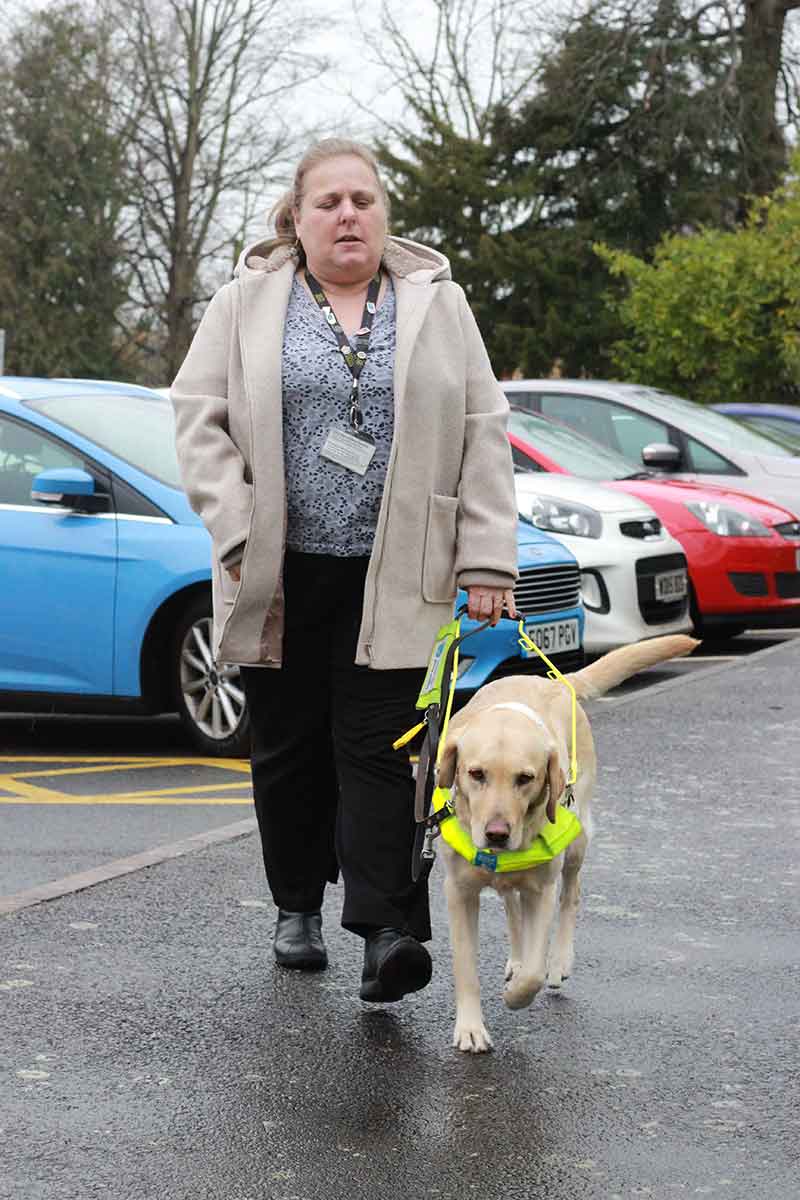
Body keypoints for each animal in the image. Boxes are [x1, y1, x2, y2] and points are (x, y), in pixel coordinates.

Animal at [434, 638, 695, 1051]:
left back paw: (557, 962)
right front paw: (471, 1028)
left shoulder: (542, 888)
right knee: (511, 906)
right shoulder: (459, 892)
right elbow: (466, 968)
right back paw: (516, 956)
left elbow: (533, 972)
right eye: (475, 774)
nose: (496, 834)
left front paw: (519, 993)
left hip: (578, 840)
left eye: (526, 778)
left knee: (570, 895)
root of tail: (557, 680)